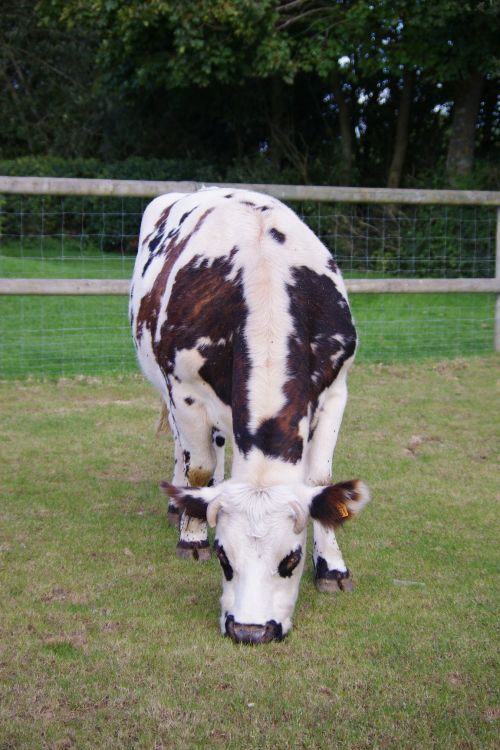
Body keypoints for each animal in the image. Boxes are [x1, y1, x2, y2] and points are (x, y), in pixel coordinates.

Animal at [130, 188, 372, 648]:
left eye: (291, 559)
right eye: (223, 556)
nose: (250, 630)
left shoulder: (336, 391)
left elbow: (321, 481)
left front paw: (332, 566)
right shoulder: (184, 388)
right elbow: (199, 468)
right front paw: (192, 535)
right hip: (166, 385)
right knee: (186, 449)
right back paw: (180, 505)